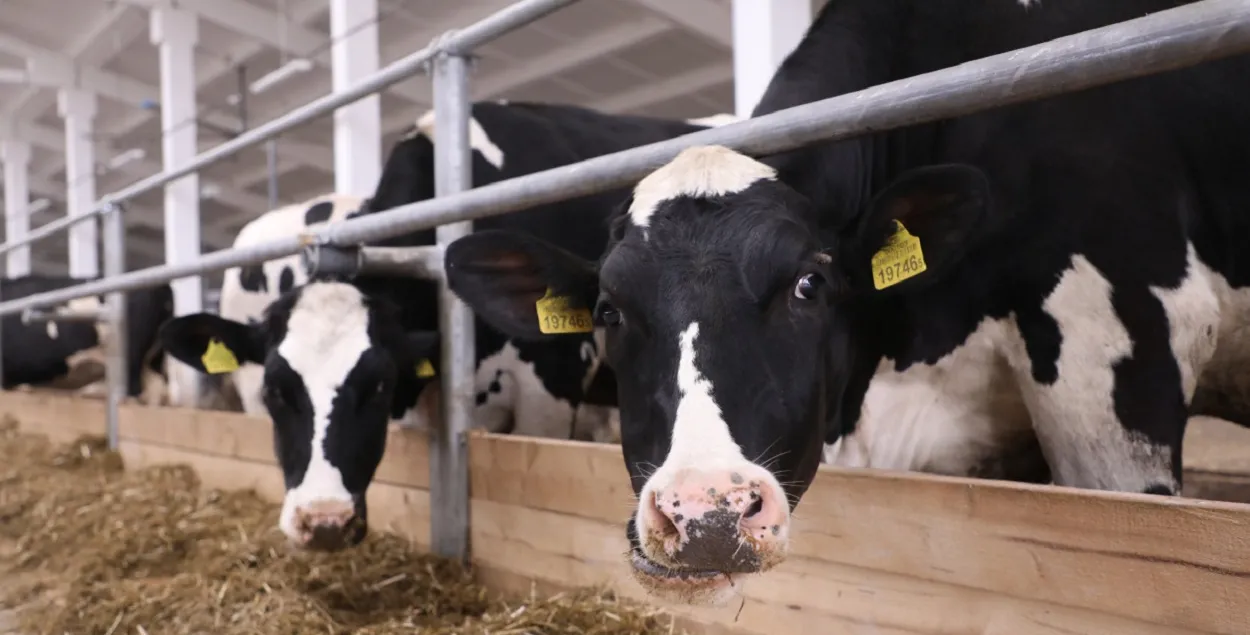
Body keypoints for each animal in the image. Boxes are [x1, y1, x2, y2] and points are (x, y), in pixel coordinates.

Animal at [0, 273, 173, 405]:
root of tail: (162, 286)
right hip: (153, 356)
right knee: (156, 387)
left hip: (129, 352)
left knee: (133, 387)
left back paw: (89, 392)